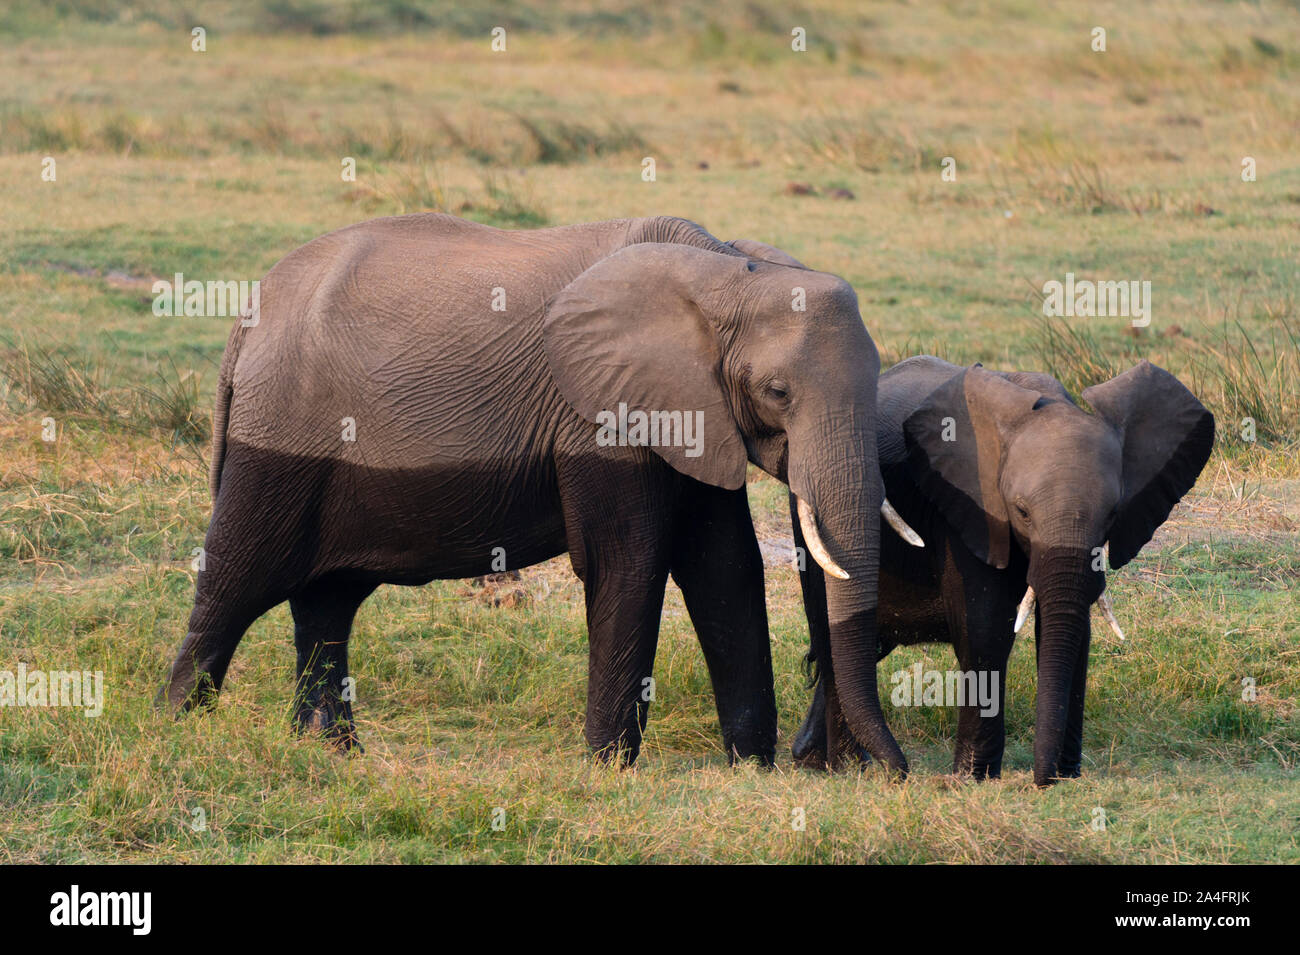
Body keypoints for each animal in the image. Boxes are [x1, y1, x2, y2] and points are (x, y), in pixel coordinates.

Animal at [159, 213, 925, 774]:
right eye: (777, 393)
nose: (892, 772)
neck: (723, 270)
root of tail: (244, 326)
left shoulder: (692, 409)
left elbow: (723, 565)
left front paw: (751, 769)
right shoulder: (600, 413)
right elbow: (629, 562)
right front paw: (608, 769)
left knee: (328, 601)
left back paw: (332, 753)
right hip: (279, 441)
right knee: (238, 578)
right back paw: (178, 729)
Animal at [790, 356, 1216, 784]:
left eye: (1113, 514)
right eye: (1022, 512)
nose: (1043, 779)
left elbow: (1075, 631)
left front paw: (1066, 775)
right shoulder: (969, 505)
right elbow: (986, 624)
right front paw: (972, 778)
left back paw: (813, 759)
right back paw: (842, 765)